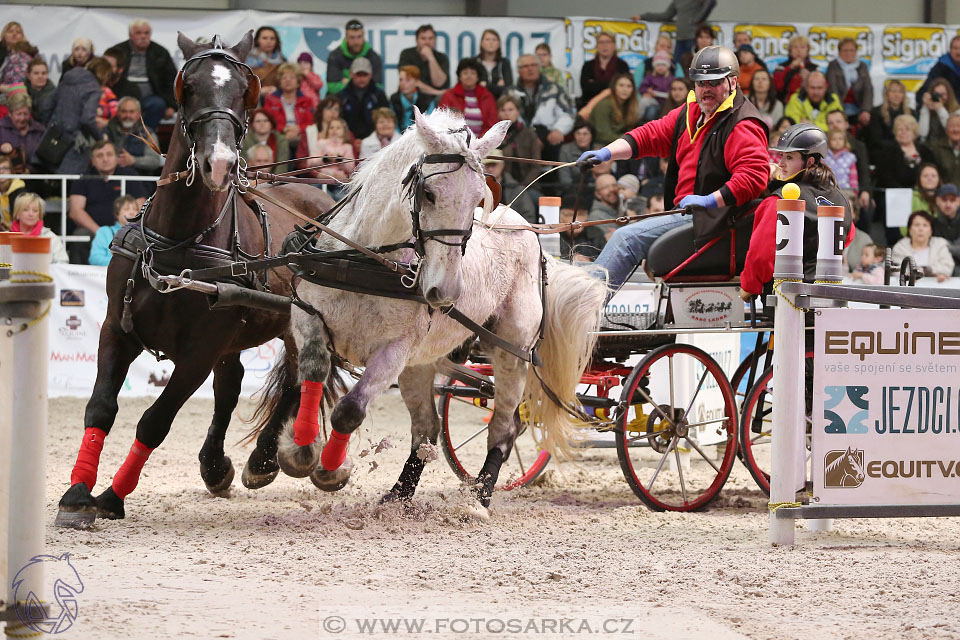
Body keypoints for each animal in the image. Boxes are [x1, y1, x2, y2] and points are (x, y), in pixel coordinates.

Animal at [54, 32, 338, 528]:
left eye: (244, 91)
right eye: (187, 86)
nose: (219, 163)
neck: (179, 241)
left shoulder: (198, 353)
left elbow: (154, 421)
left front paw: (112, 496)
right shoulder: (116, 330)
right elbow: (101, 408)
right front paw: (76, 492)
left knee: (298, 378)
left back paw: (268, 459)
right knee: (235, 386)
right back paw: (218, 465)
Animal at [262, 109, 608, 516]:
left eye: (477, 200)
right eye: (428, 193)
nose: (444, 292)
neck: (365, 261)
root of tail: (531, 232)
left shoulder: (394, 352)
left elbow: (349, 410)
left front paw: (330, 471)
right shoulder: (307, 318)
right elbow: (313, 373)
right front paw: (299, 451)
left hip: (511, 351)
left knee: (504, 428)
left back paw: (479, 499)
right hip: (422, 363)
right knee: (426, 430)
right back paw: (398, 496)